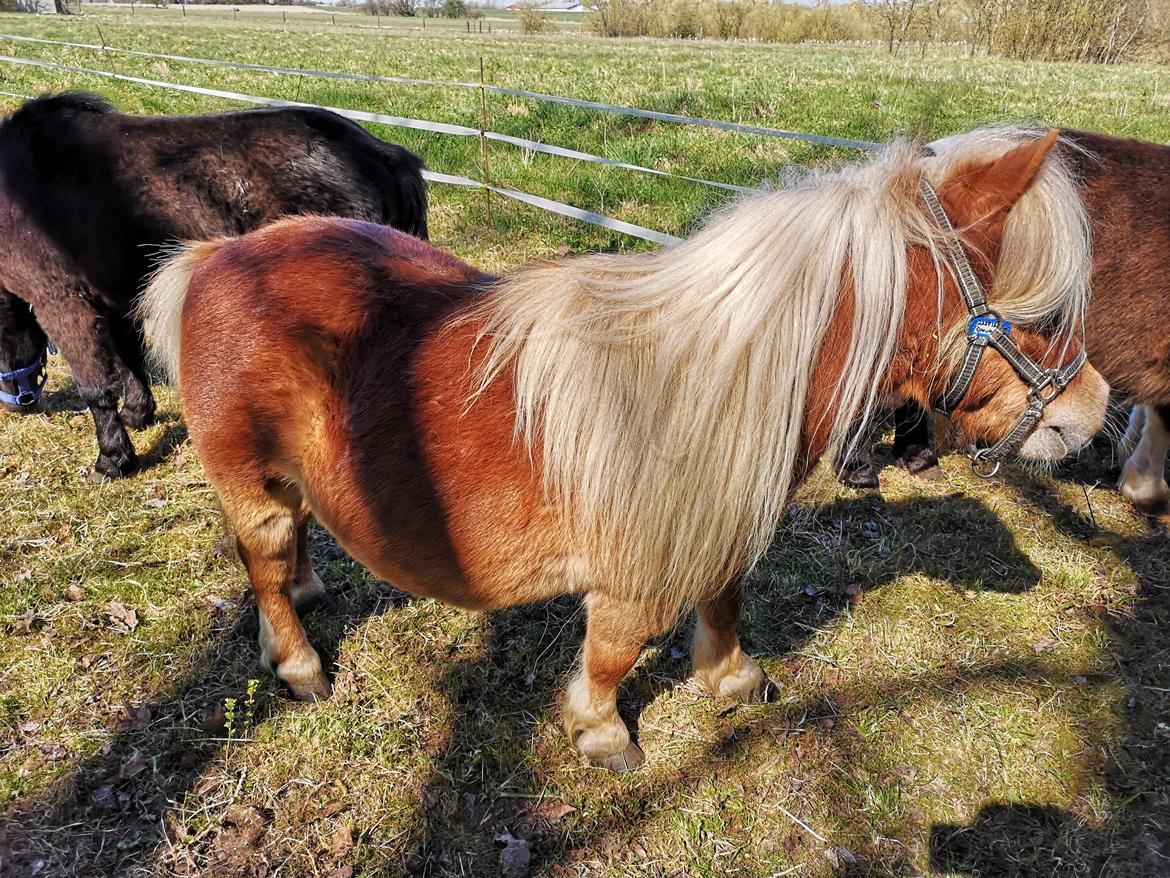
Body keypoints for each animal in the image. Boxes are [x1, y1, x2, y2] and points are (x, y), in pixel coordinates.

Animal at [0, 94, 430, 482]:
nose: (17, 406)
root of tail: (383, 155)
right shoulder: (118, 299)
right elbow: (130, 360)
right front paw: (137, 414)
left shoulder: (65, 306)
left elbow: (95, 386)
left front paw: (111, 461)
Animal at [139, 128, 1104, 767]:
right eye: (1043, 307)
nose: (1092, 414)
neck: (708, 378)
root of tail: (219, 254)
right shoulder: (634, 574)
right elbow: (613, 650)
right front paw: (603, 734)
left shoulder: (718, 533)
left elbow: (725, 604)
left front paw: (734, 681)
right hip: (251, 485)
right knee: (263, 563)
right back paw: (298, 662)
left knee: (288, 551)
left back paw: (309, 594)